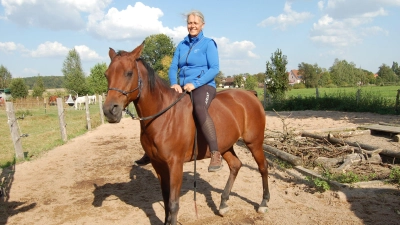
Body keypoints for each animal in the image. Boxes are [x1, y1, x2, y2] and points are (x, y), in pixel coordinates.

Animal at [103, 42, 268, 225]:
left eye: (129, 73)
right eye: (106, 74)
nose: (110, 110)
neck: (164, 117)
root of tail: (250, 94)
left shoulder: (175, 164)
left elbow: (173, 204)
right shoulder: (158, 164)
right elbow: (166, 201)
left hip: (254, 142)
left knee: (263, 167)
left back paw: (263, 203)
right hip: (225, 146)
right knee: (235, 165)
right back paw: (223, 203)